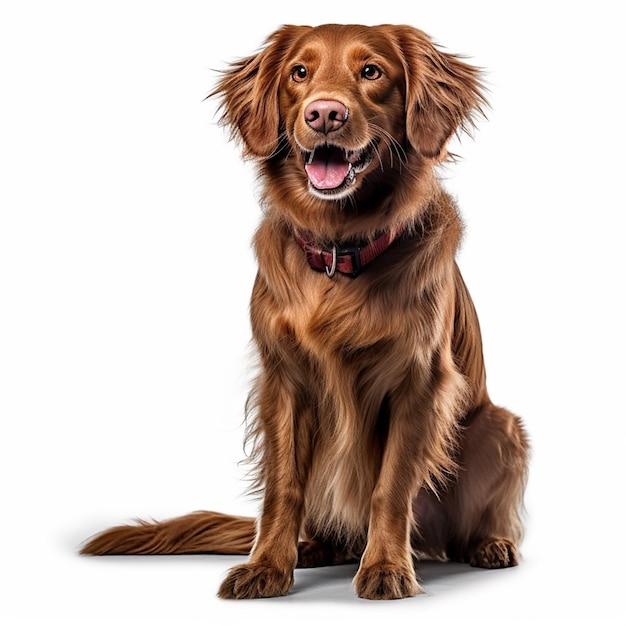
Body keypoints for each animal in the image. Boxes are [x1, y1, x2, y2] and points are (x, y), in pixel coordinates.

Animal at [81, 23, 528, 600]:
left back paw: (488, 545)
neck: (341, 251)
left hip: (499, 425)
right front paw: (267, 566)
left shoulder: (419, 382)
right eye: (299, 72)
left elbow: (390, 486)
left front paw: (387, 568)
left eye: (372, 71)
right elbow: (283, 487)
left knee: (471, 521)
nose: (324, 114)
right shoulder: (283, 381)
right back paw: (315, 547)